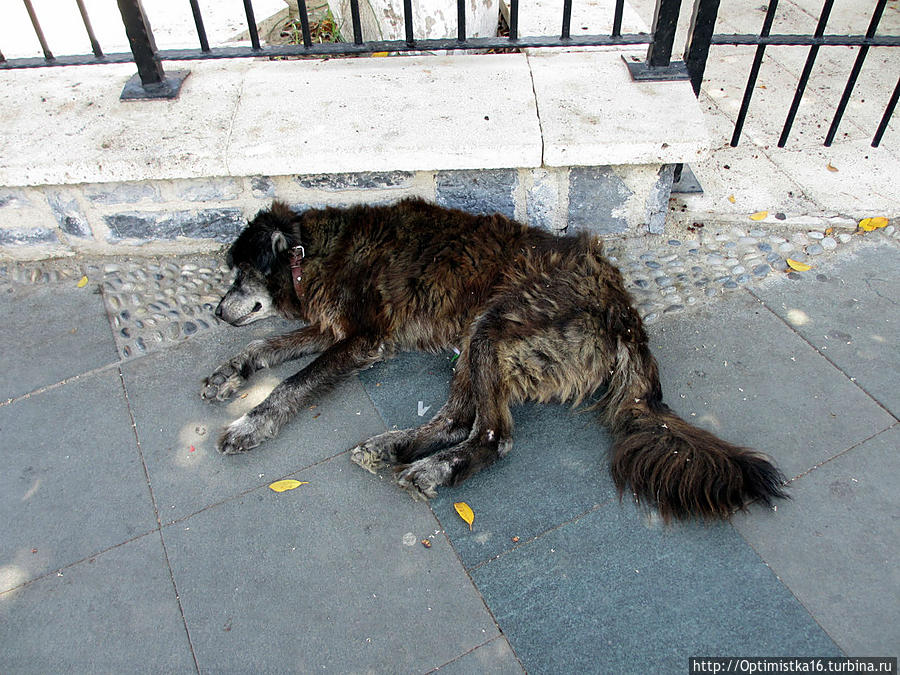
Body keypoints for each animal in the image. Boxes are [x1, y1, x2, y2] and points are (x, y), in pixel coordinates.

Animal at [204, 198, 788, 520]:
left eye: (241, 274)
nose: (214, 310)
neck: (308, 253)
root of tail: (621, 309)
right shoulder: (332, 328)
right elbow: (262, 348)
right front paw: (229, 372)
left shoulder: (362, 338)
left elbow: (292, 383)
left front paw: (250, 424)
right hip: (474, 341)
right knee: (458, 418)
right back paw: (395, 447)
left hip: (494, 326)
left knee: (493, 435)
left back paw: (434, 469)